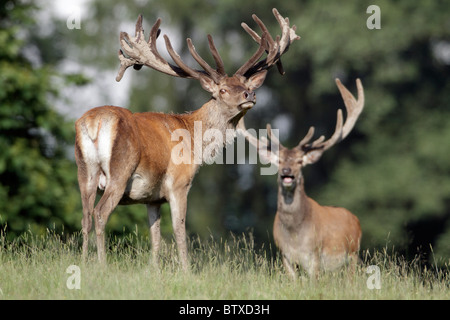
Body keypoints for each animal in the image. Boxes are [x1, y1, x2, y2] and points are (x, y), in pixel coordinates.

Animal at [74, 8, 298, 268]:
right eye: (222, 90)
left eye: (243, 84)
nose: (249, 94)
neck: (194, 139)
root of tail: (94, 123)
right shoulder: (179, 182)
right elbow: (180, 231)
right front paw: (186, 269)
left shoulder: (152, 197)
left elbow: (156, 237)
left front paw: (154, 270)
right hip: (120, 171)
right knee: (100, 213)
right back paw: (102, 264)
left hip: (84, 171)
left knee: (85, 217)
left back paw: (84, 262)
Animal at [241, 78, 364, 278]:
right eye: (280, 160)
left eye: (299, 161)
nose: (287, 171)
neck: (295, 236)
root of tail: (356, 220)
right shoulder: (285, 256)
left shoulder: (315, 255)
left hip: (353, 254)